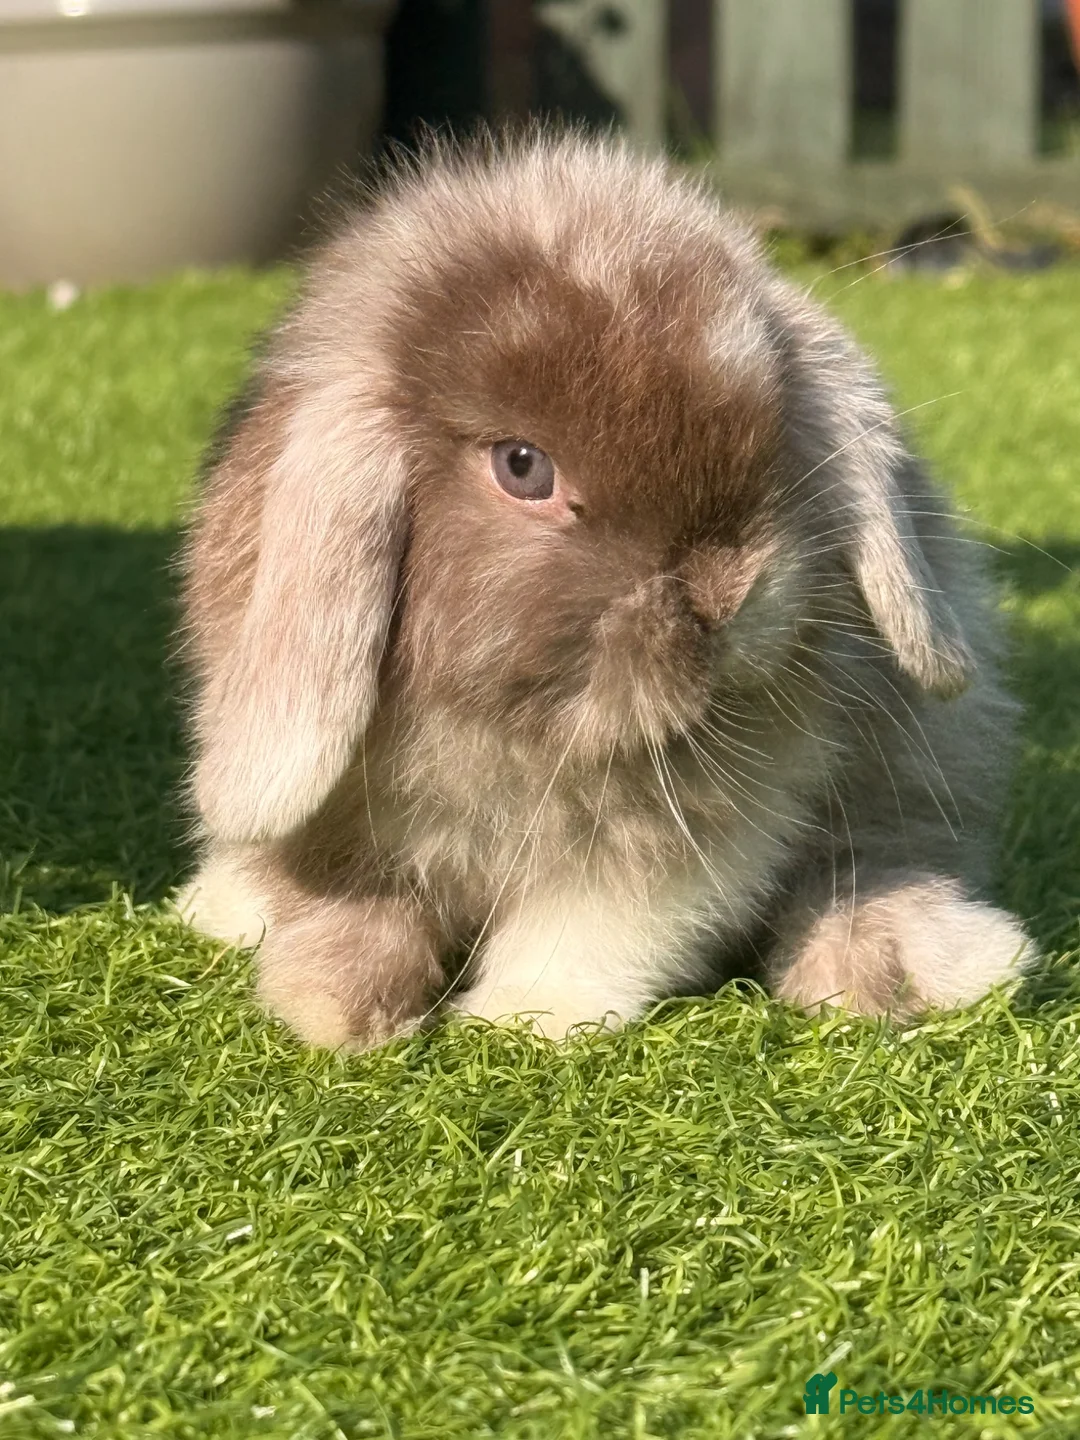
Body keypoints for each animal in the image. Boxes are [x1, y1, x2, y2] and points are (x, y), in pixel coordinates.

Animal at [175, 131, 1033, 1049]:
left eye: (766, 429)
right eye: (522, 466)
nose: (726, 594)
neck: (521, 729)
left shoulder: (687, 834)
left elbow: (595, 922)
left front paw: (527, 1020)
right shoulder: (336, 820)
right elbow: (353, 904)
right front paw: (336, 1009)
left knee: (875, 855)